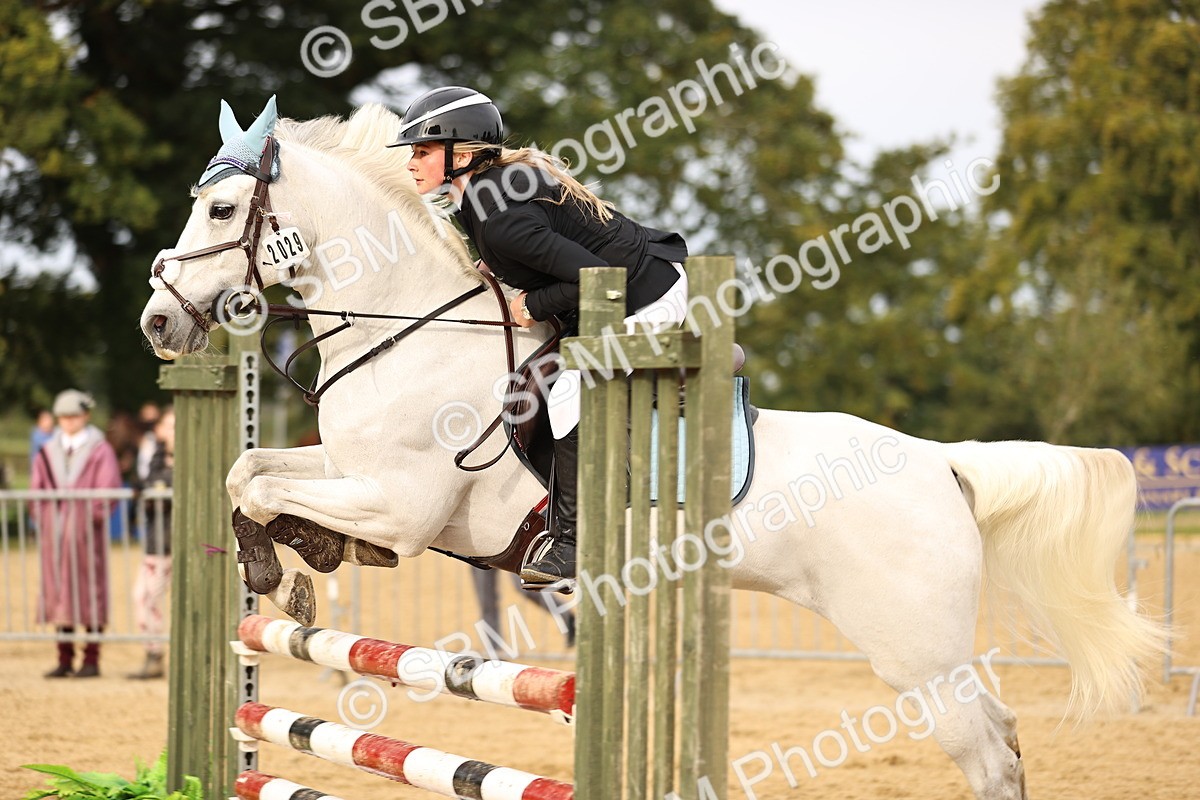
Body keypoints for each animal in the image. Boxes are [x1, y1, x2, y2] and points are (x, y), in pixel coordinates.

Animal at [139, 99, 1165, 800]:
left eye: (223, 212)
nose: (157, 322)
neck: (407, 327)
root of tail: (942, 462)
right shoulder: (351, 473)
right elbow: (247, 473)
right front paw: (293, 563)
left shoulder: (402, 502)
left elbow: (266, 488)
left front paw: (285, 567)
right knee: (1001, 738)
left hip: (915, 647)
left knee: (987, 748)